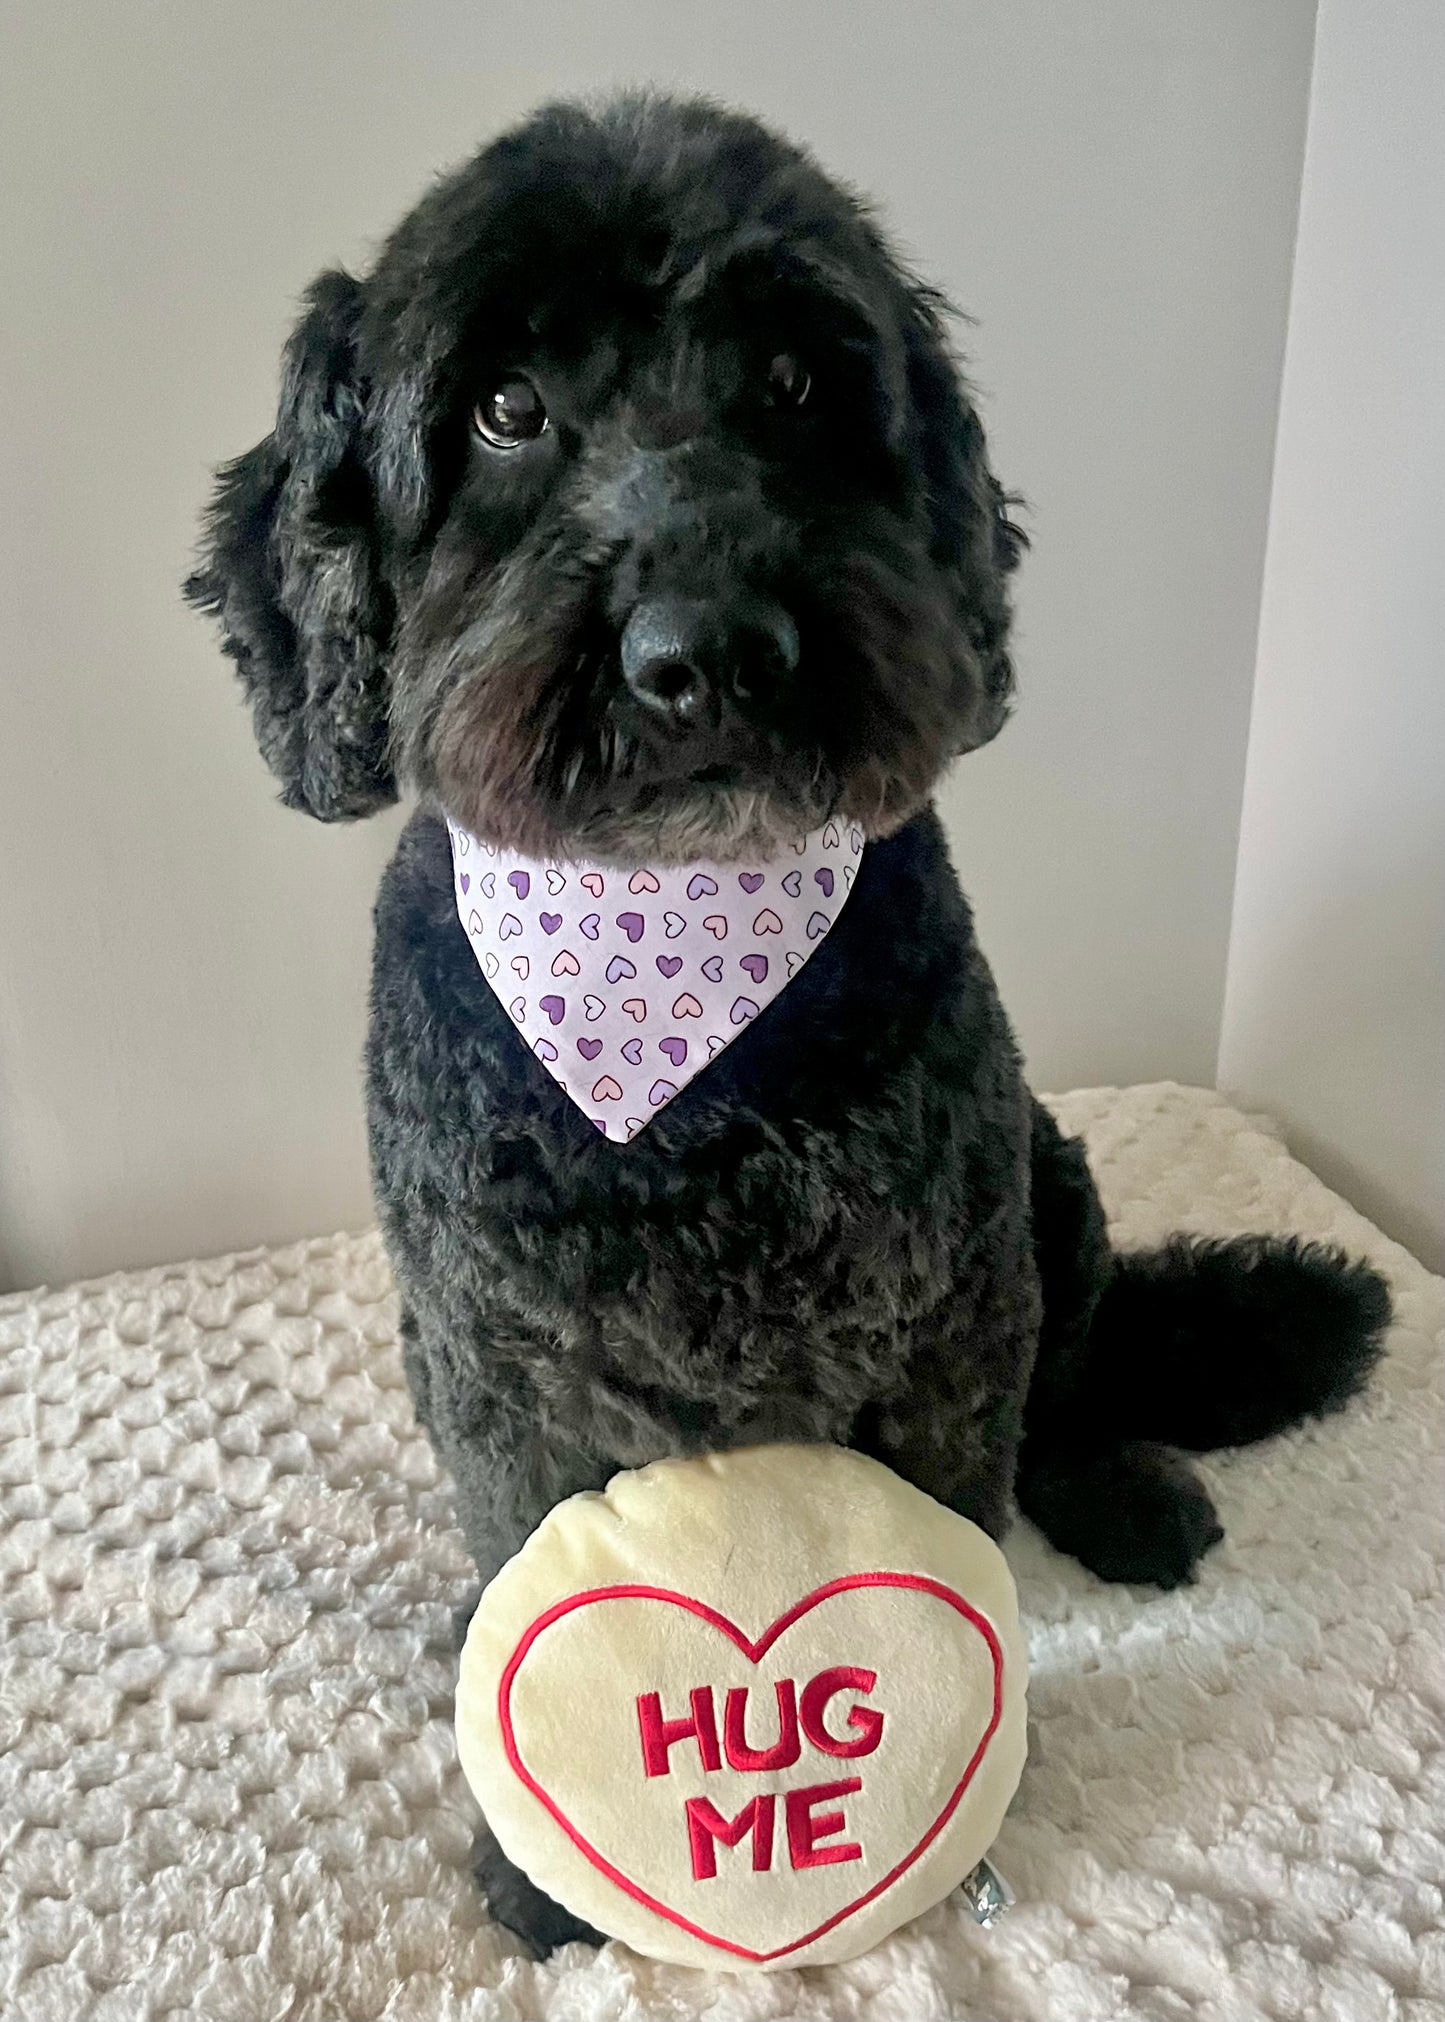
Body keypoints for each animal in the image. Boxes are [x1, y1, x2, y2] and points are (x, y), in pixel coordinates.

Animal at [186, 98, 1398, 1957]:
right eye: (504, 406)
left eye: (798, 384)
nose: (710, 652)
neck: (681, 1030)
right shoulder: (494, 1353)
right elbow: (519, 1541)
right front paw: (535, 1865)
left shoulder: (950, 1305)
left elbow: (956, 1535)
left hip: (1046, 1183)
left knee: (1082, 1371)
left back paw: (1121, 1488)